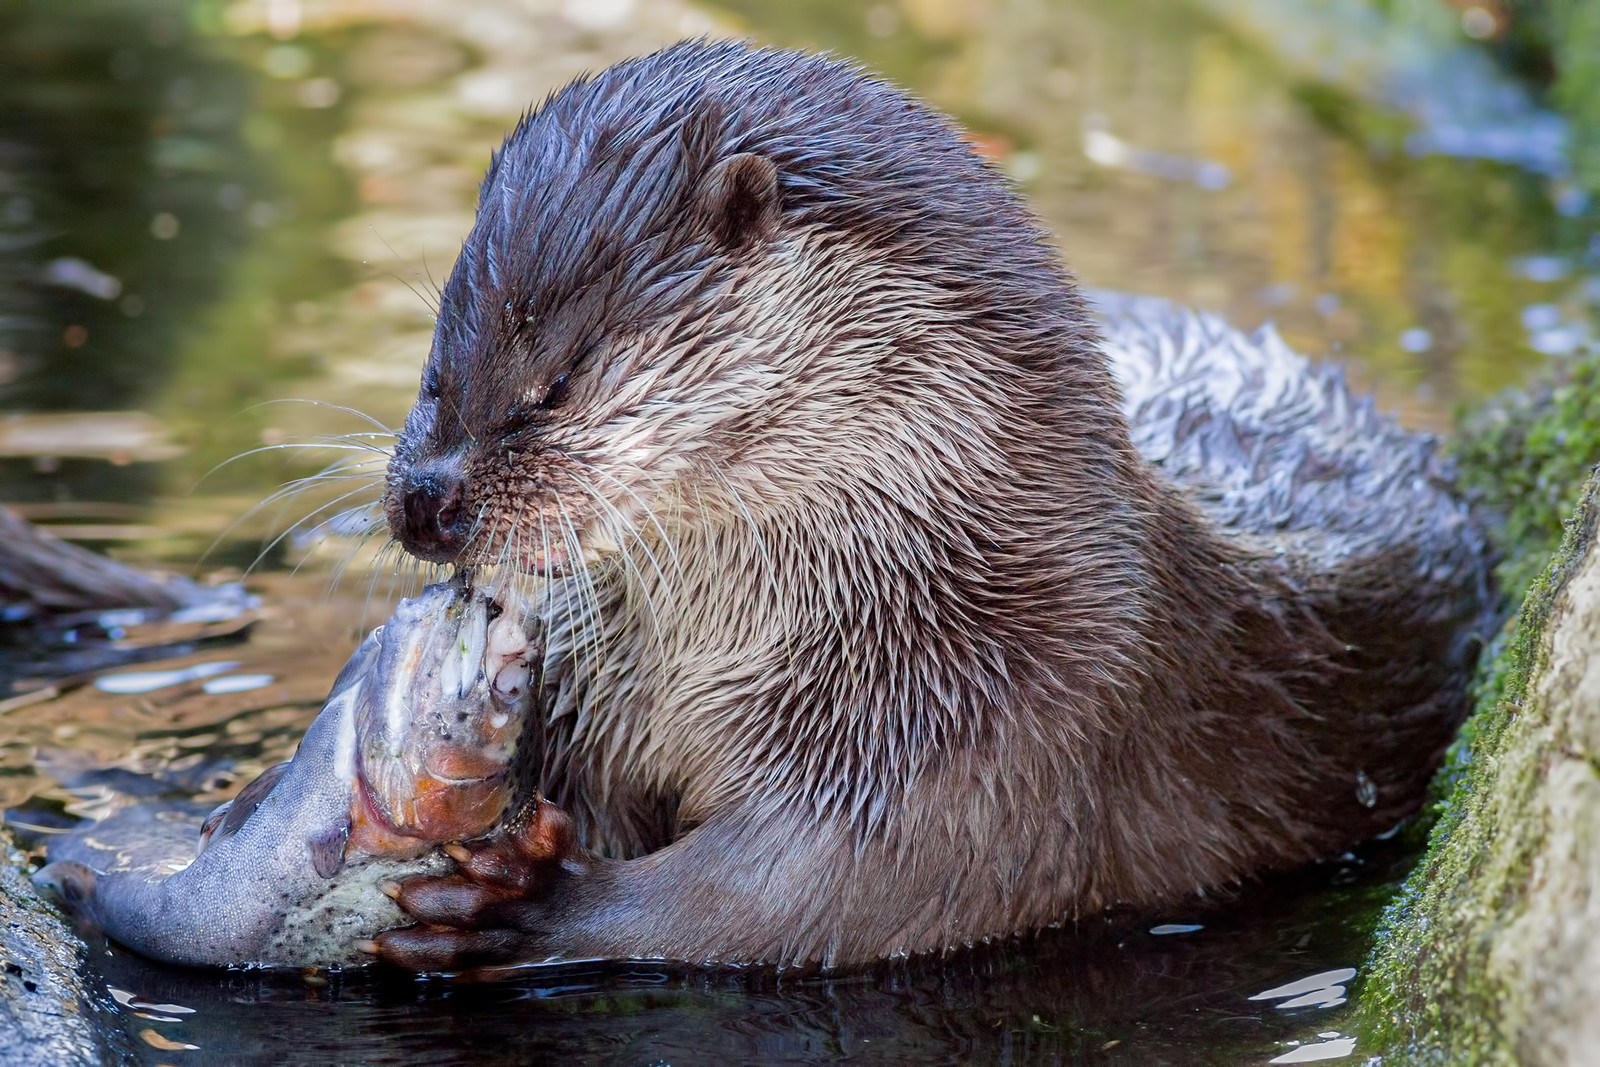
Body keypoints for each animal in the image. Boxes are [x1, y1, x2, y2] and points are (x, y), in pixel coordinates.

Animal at [368, 39, 1491, 979]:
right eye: (436, 367)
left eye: (552, 385)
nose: (425, 501)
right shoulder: (597, 692)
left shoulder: (999, 719)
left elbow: (805, 894)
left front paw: (531, 903)